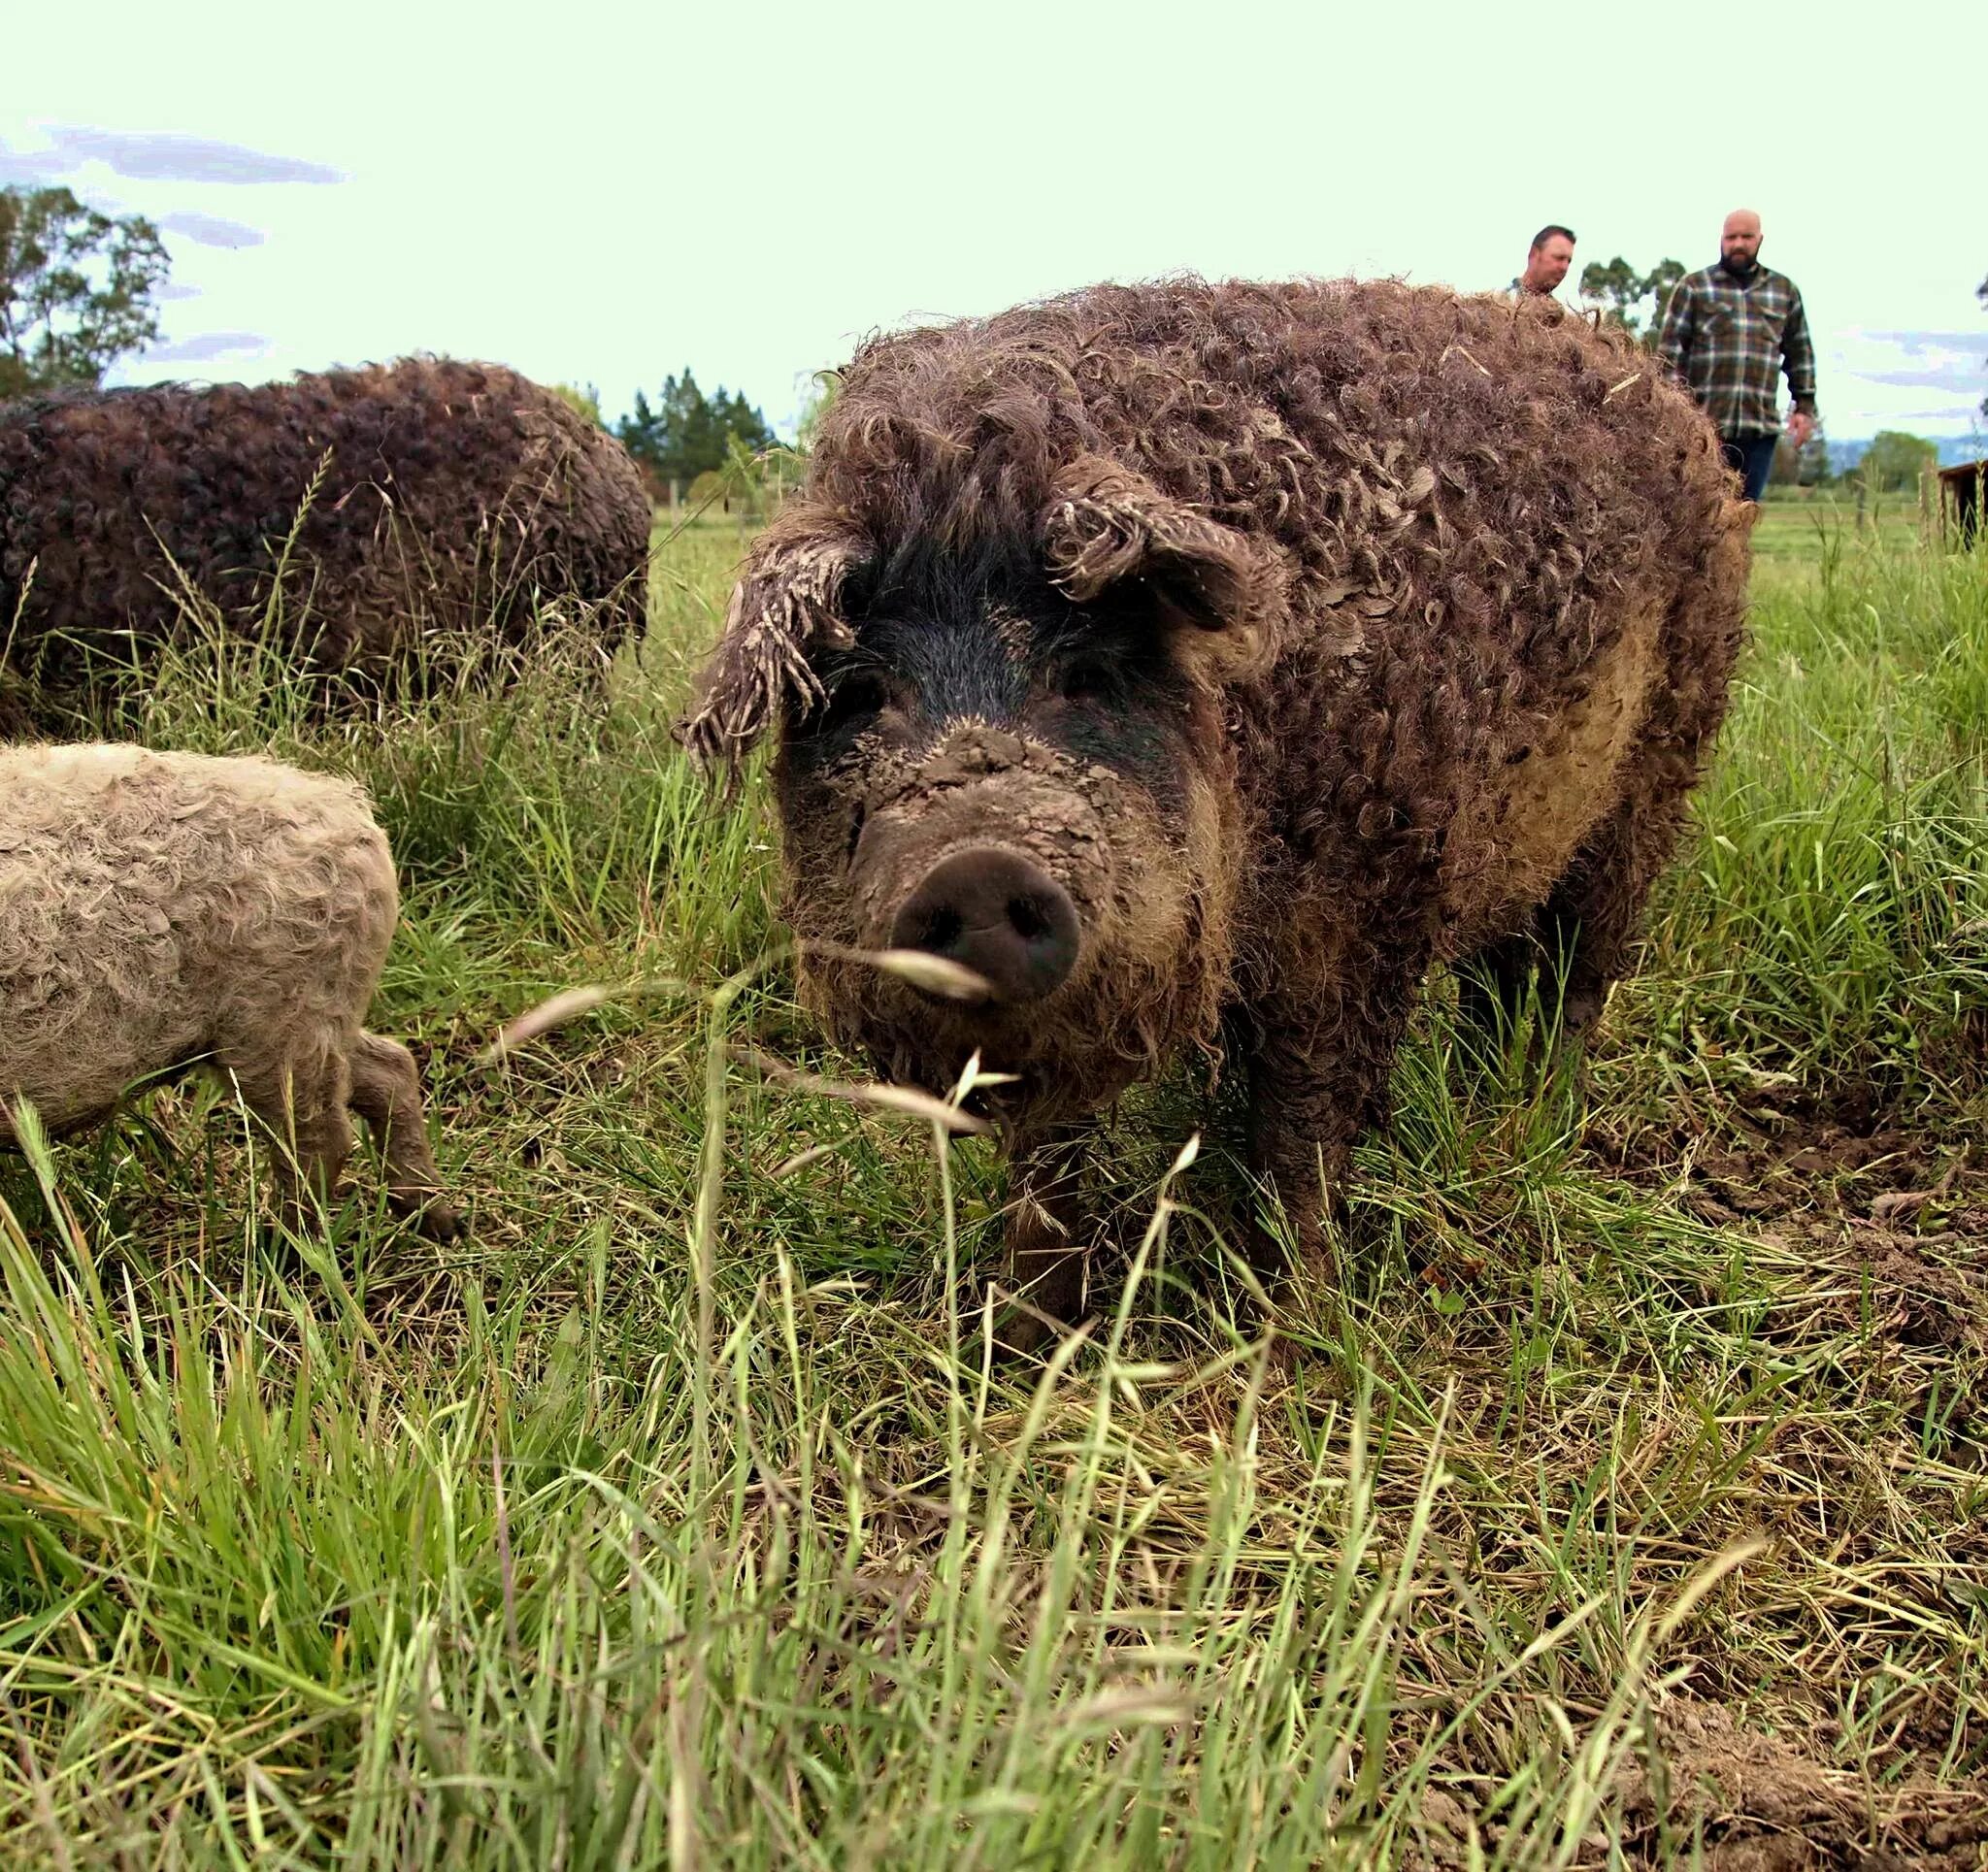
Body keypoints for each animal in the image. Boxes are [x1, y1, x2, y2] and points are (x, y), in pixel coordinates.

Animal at [6, 739, 461, 1239]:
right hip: (313, 1012)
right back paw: (435, 1219)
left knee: (320, 1137)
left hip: (280, 1015)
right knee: (389, 1067)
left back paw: (281, 1243)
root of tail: (354, 816)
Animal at [683, 278, 1757, 1343]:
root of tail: (1664, 393)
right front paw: (1020, 1338)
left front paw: (1299, 1330)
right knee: (1498, 980)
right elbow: (1046, 1161)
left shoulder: (1358, 910)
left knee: (1581, 967)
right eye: (861, 693)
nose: (979, 866)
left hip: (1656, 771)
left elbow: (1301, 1129)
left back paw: (1536, 1126)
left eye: (1086, 672)